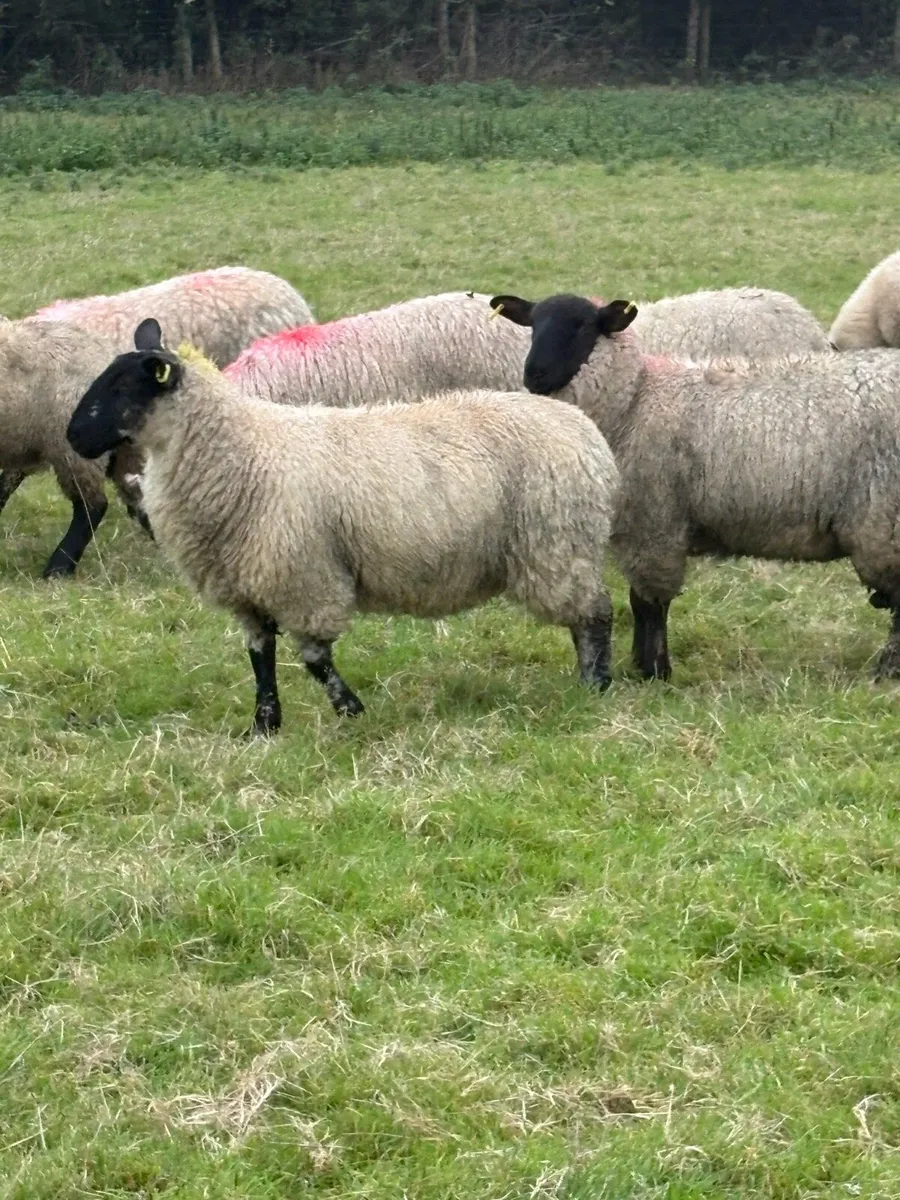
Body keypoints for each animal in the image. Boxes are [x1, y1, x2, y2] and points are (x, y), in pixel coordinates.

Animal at [66, 319, 621, 733]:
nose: (73, 438)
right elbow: (259, 655)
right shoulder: (248, 585)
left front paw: (350, 710)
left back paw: (595, 686)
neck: (243, 451)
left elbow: (314, 657)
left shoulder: (304, 577)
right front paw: (265, 726)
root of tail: (586, 433)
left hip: (555, 543)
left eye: (123, 386)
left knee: (595, 613)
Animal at [490, 290, 900, 683]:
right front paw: (643, 664)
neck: (636, 399)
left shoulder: (654, 525)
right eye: (533, 325)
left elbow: (650, 604)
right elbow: (640, 603)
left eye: (582, 326)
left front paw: (654, 670)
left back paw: (886, 672)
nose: (534, 375)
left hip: (882, 519)